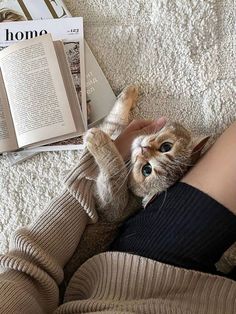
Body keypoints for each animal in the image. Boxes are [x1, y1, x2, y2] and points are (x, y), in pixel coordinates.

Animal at [61, 84, 209, 290]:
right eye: (166, 147)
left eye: (147, 170)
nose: (143, 148)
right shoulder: (117, 131)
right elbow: (115, 119)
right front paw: (129, 93)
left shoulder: (111, 207)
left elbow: (114, 171)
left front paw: (97, 140)